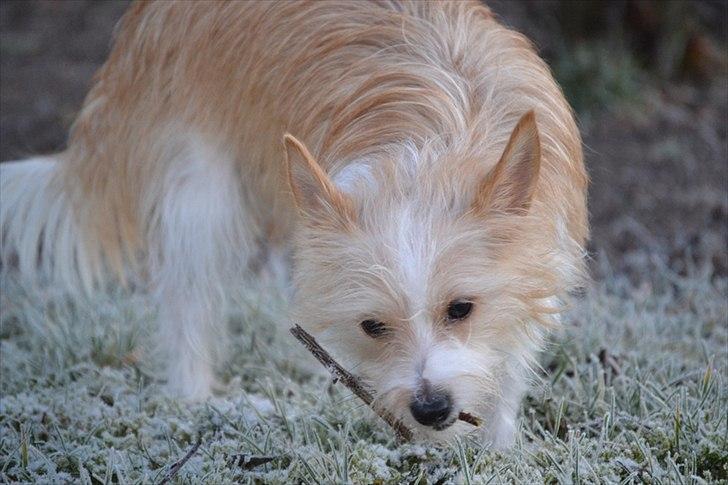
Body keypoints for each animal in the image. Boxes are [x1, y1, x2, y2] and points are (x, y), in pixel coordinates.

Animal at [0, 0, 588, 446]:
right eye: (372, 326)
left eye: (461, 309)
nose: (429, 408)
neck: (432, 150)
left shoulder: (543, 258)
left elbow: (512, 358)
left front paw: (499, 449)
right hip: (202, 194)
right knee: (188, 300)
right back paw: (200, 399)